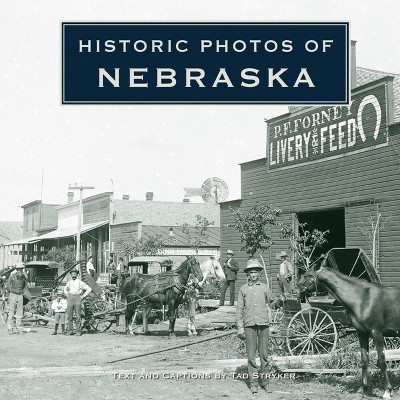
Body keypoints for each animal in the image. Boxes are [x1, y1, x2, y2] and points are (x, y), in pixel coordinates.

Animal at [298, 256, 398, 400]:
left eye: (308, 275)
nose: (297, 287)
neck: (363, 298)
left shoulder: (377, 333)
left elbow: (382, 362)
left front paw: (387, 391)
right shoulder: (362, 333)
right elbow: (364, 360)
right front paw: (363, 388)